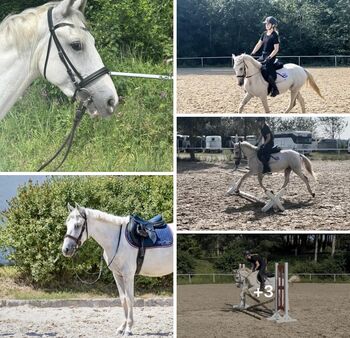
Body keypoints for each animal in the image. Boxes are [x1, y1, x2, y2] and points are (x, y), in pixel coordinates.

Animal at [62, 205, 174, 336]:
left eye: (77, 225)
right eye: (67, 224)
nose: (66, 250)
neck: (116, 240)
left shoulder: (128, 275)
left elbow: (130, 299)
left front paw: (129, 329)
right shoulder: (117, 275)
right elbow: (123, 299)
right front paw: (122, 327)